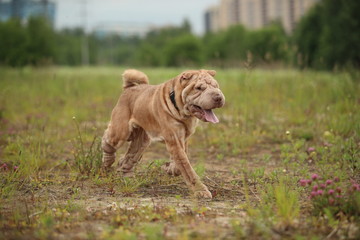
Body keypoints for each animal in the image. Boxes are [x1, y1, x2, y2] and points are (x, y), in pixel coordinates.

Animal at [102, 69, 225, 199]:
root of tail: (129, 87)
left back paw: (126, 175)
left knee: (130, 157)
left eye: (216, 86)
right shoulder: (174, 140)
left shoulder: (183, 140)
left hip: (142, 141)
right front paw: (200, 190)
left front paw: (168, 168)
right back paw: (108, 160)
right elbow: (187, 168)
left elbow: (180, 163)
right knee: (108, 140)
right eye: (199, 88)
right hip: (121, 132)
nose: (218, 97)